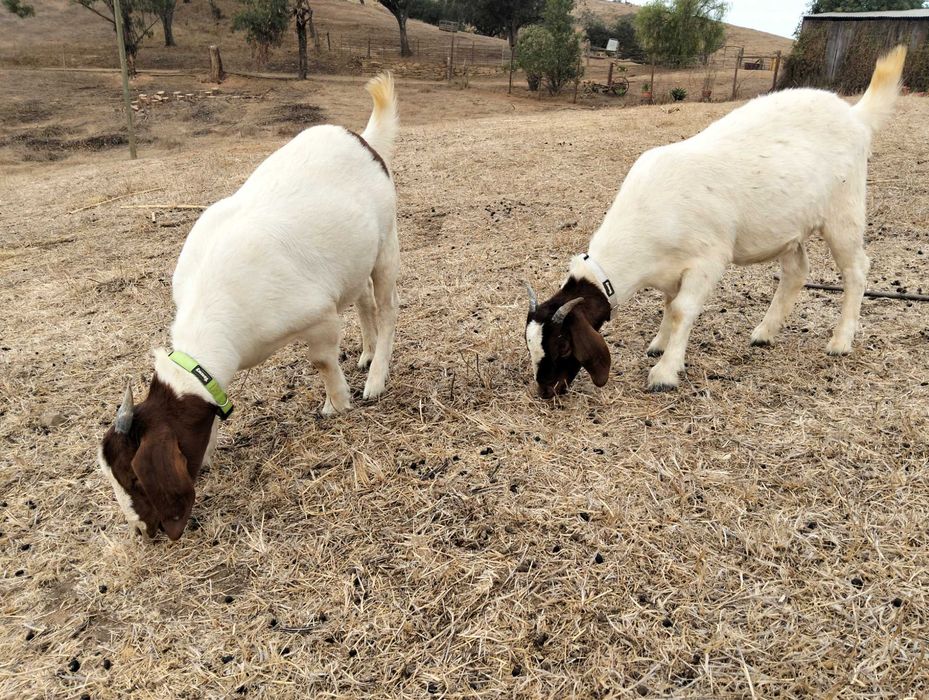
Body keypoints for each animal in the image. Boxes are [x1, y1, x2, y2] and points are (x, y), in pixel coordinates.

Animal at [98, 73, 400, 540]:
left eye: (134, 476)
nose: (142, 531)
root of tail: (363, 139)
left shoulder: (317, 315)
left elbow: (321, 361)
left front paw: (336, 404)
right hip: (354, 261)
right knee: (364, 300)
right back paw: (366, 355)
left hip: (386, 242)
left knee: (385, 308)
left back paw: (376, 377)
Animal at [525, 47, 907, 397]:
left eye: (563, 345)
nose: (546, 390)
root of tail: (856, 115)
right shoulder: (671, 270)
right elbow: (668, 306)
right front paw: (659, 344)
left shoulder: (707, 260)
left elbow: (682, 310)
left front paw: (665, 372)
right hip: (789, 228)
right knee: (796, 272)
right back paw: (765, 333)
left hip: (845, 210)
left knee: (856, 269)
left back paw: (841, 341)